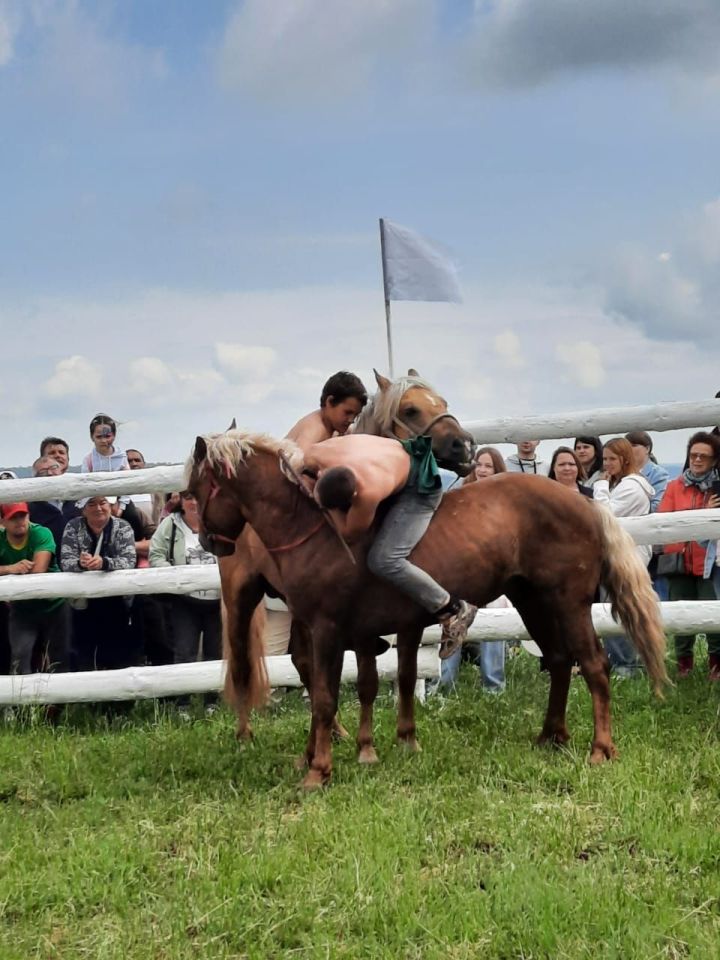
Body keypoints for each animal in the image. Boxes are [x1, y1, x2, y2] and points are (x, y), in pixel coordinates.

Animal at [187, 432, 668, 792]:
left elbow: (325, 698)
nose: (210, 541)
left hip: (568, 603)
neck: (310, 526)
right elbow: (361, 685)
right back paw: (551, 735)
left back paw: (599, 749)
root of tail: (586, 504)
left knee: (595, 665)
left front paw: (319, 770)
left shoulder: (329, 630)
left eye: (196, 489)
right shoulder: (346, 630)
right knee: (560, 661)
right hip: (533, 601)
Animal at [212, 368, 478, 744]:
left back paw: (335, 730)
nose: (465, 445)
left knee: (301, 662)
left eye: (443, 403)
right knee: (241, 663)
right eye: (410, 410)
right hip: (240, 594)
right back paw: (245, 734)